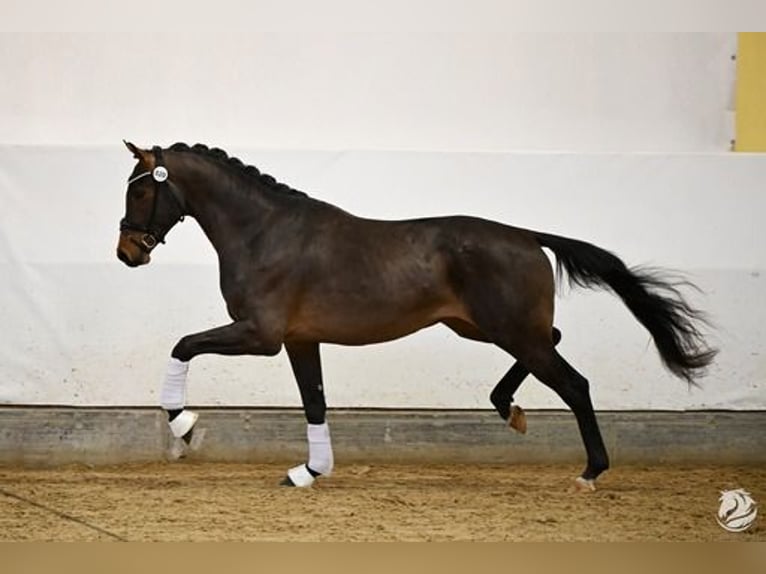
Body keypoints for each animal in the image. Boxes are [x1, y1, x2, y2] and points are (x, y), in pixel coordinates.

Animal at [117, 142, 716, 492]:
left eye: (142, 191)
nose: (126, 253)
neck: (266, 233)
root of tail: (526, 236)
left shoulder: (260, 335)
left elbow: (182, 345)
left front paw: (185, 425)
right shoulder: (299, 339)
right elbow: (315, 401)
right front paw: (309, 471)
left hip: (506, 329)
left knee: (575, 382)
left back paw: (590, 470)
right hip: (487, 328)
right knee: (554, 341)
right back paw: (509, 408)